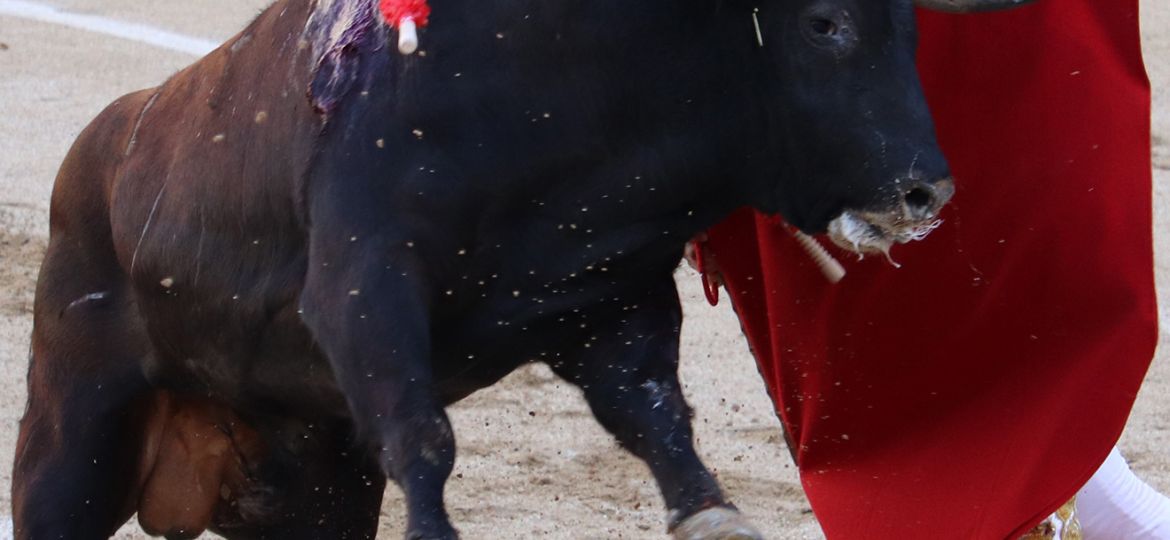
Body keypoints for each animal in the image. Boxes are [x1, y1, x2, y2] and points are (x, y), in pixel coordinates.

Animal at [9, 0, 1034, 537]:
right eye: (823, 24)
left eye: (908, 26)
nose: (925, 190)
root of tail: (106, 140)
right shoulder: (362, 289)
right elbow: (423, 437)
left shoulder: (607, 297)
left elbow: (657, 418)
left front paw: (713, 516)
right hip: (72, 436)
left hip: (313, 490)